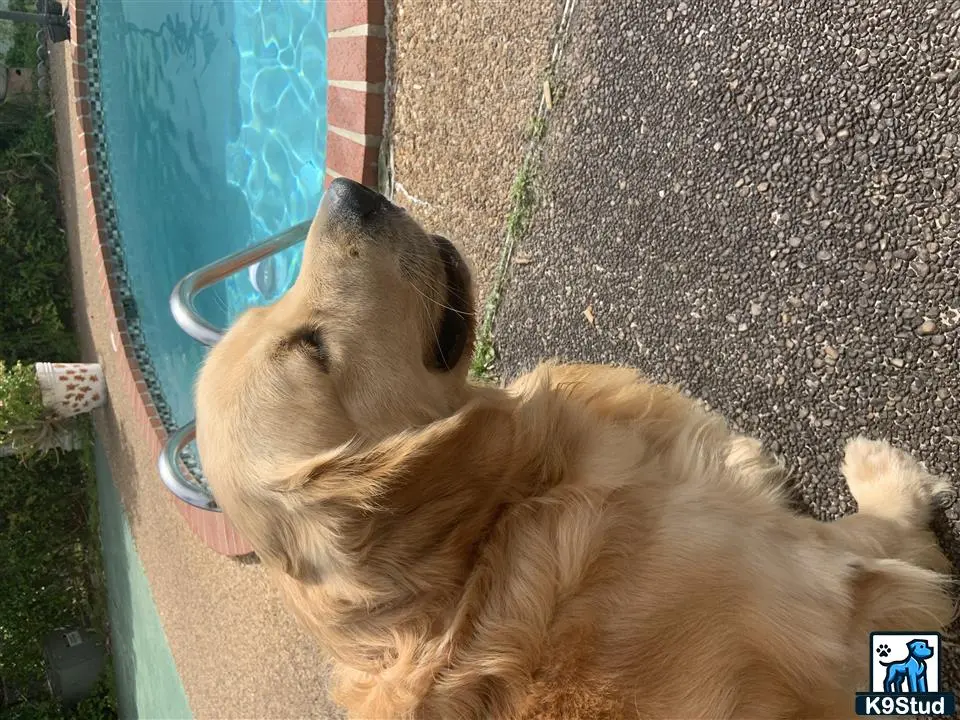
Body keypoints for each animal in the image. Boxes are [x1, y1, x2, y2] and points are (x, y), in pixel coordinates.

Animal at [195, 177, 952, 716]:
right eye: (311, 348)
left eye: (269, 313)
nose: (345, 190)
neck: (482, 543)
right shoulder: (813, 575)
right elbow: (881, 538)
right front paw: (887, 478)